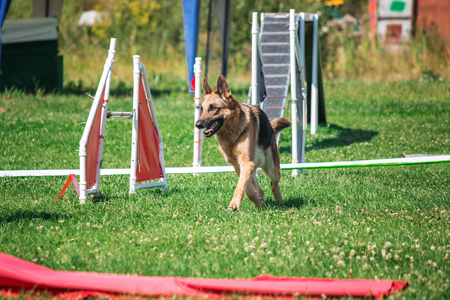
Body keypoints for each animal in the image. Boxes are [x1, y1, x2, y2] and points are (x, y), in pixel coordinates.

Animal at [195, 75, 290, 211]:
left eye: (213, 108)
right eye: (202, 109)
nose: (197, 124)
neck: (231, 132)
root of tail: (271, 128)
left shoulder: (246, 163)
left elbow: (241, 186)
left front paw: (234, 204)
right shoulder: (239, 165)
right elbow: (247, 189)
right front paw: (257, 202)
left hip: (272, 169)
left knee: (274, 183)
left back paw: (280, 201)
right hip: (253, 166)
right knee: (259, 189)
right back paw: (260, 201)